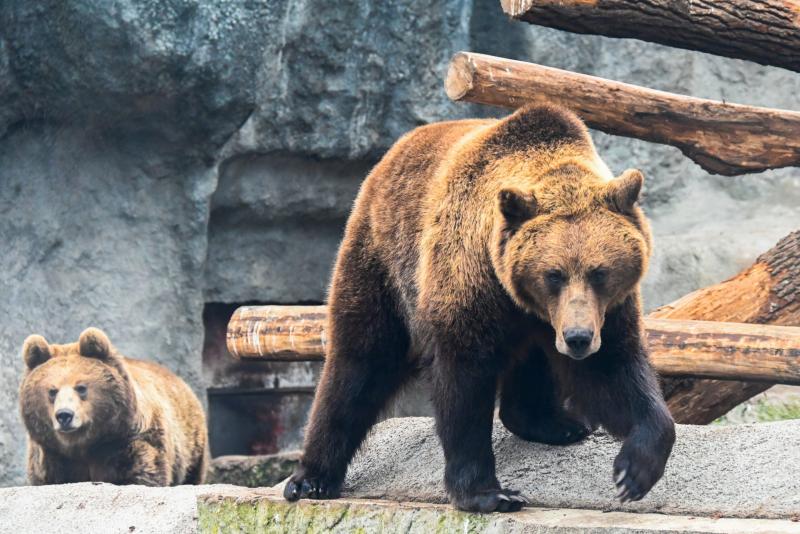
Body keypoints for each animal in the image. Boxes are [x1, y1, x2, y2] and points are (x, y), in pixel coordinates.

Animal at [18, 328, 208, 488]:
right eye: (52, 391)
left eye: (81, 387)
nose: (64, 415)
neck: (84, 445)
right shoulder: (51, 456)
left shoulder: (131, 442)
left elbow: (142, 472)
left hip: (191, 446)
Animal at [284, 105, 672, 516]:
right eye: (554, 274)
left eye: (600, 272)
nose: (577, 338)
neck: (517, 295)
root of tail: (394, 152)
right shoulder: (469, 280)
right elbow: (464, 383)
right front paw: (490, 493)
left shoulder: (605, 310)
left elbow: (614, 370)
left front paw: (635, 469)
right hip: (381, 259)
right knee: (361, 360)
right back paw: (310, 478)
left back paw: (556, 423)